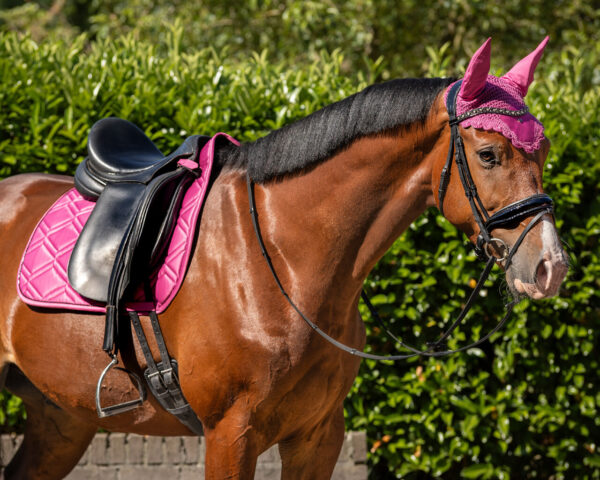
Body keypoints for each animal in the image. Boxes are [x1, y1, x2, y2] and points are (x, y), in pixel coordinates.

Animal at [0, 37, 568, 479]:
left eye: (542, 153)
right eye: (489, 154)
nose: (550, 267)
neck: (284, 259)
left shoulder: (318, 435)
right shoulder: (230, 434)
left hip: (60, 419)